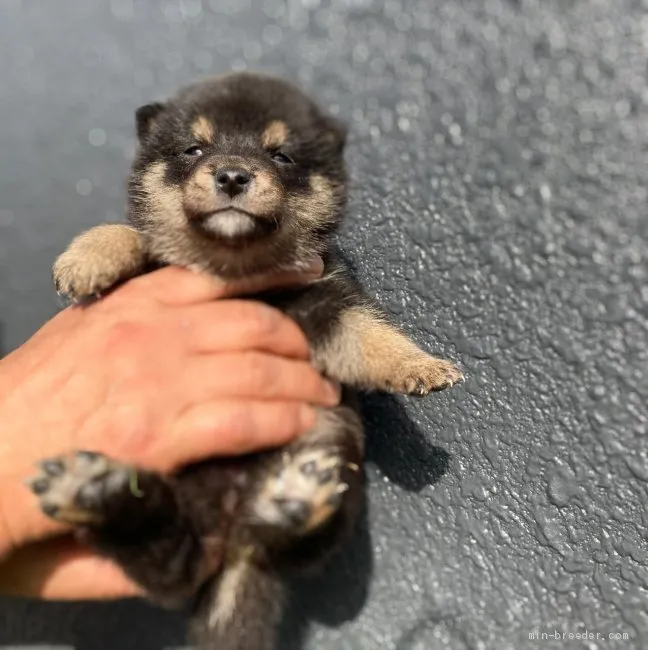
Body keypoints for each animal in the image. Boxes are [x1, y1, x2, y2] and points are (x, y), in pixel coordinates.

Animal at [27, 72, 464, 648]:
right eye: (194, 148)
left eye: (281, 155)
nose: (233, 174)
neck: (235, 269)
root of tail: (238, 539)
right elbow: (134, 234)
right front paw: (88, 256)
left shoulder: (327, 301)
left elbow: (369, 335)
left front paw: (420, 365)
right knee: (173, 563)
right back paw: (97, 492)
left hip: (334, 446)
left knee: (278, 543)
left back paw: (293, 499)